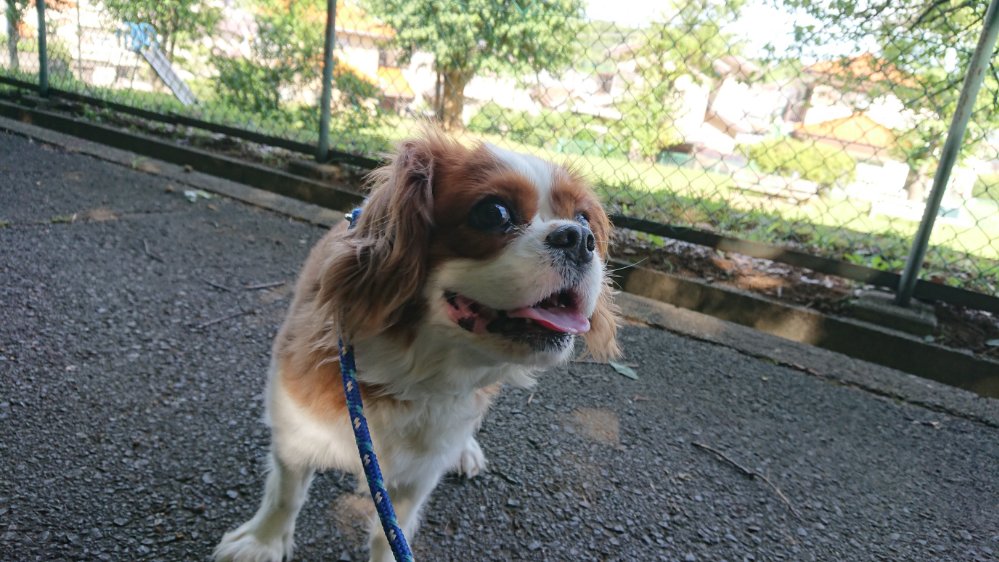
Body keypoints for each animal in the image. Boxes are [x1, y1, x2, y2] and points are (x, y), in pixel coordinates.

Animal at [213, 126, 619, 562]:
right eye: (494, 213)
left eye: (583, 218)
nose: (579, 237)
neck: (414, 370)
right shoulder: (294, 430)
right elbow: (285, 495)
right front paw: (262, 542)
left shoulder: (421, 467)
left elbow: (392, 529)